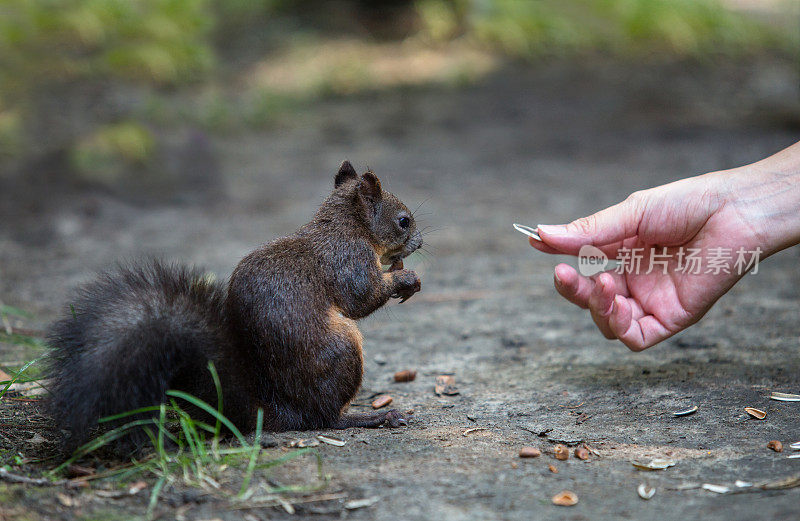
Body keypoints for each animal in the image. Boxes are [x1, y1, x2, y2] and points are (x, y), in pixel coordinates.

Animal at [46, 162, 424, 450]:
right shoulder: (349, 260)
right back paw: (374, 416)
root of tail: (284, 411)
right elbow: (362, 297)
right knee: (326, 419)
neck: (346, 226)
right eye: (404, 220)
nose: (420, 243)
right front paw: (405, 278)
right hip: (342, 349)